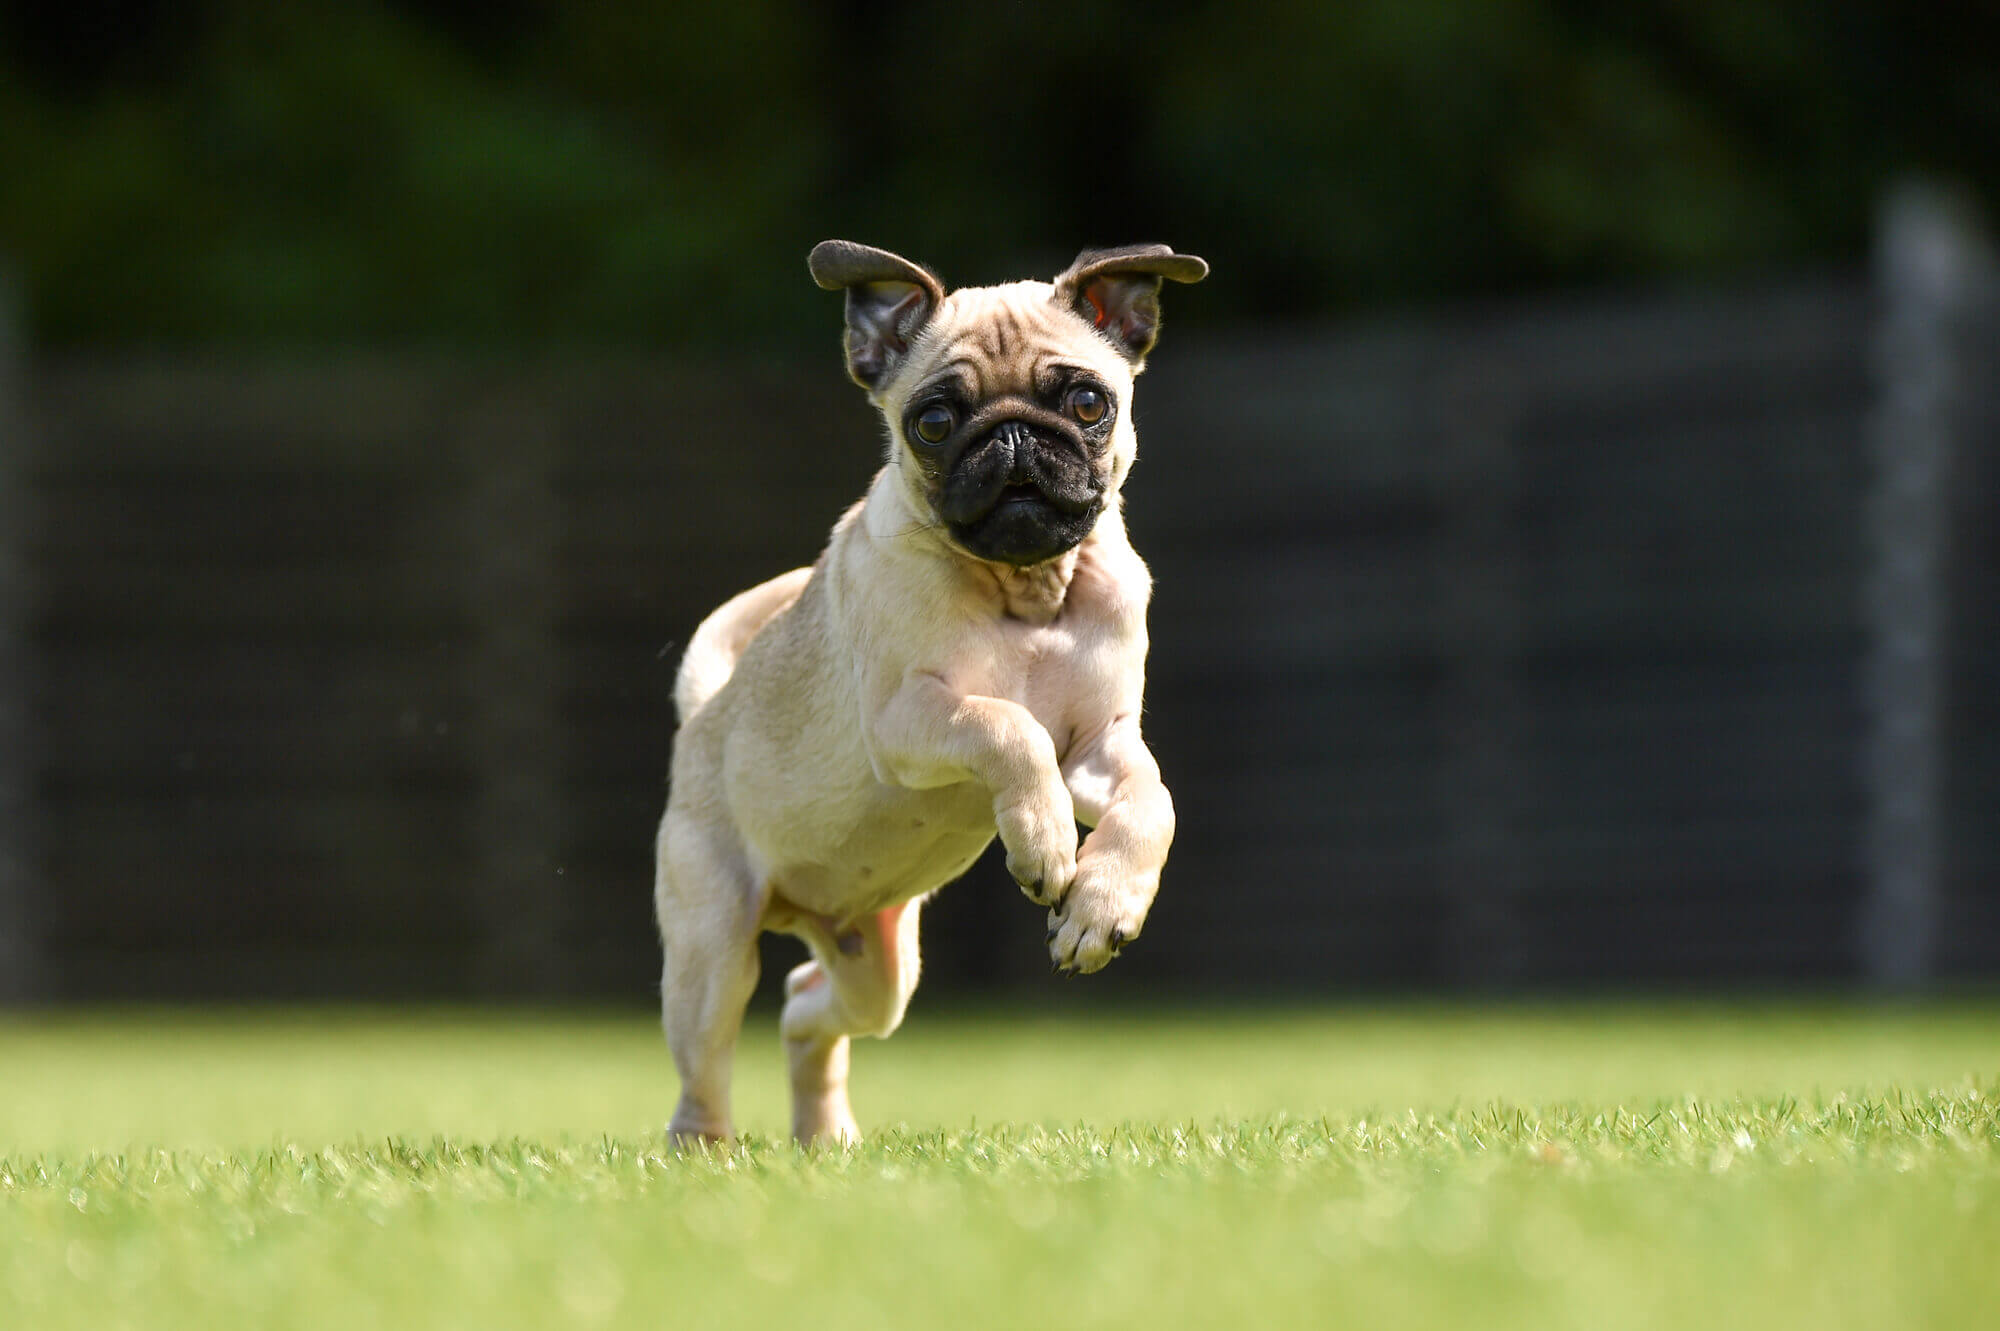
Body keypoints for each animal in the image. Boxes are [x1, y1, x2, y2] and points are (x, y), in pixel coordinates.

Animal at [664, 238, 1208, 1143]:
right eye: (934, 422)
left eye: (1088, 402)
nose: (1013, 437)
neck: (1028, 593)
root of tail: (706, 710)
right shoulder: (909, 719)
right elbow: (1007, 725)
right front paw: (1044, 841)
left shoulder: (1101, 744)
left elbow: (1150, 801)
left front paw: (1102, 904)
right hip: (713, 947)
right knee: (707, 1056)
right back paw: (704, 1147)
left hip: (880, 965)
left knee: (806, 1007)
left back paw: (825, 1134)